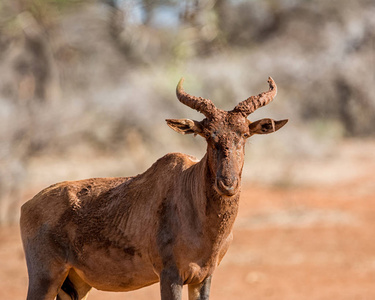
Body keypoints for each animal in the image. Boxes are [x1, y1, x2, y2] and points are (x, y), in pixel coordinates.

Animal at [20, 78, 290, 300]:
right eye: (208, 135)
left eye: (244, 134)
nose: (227, 184)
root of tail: (27, 205)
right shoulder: (170, 275)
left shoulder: (203, 277)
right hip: (45, 278)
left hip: (76, 284)